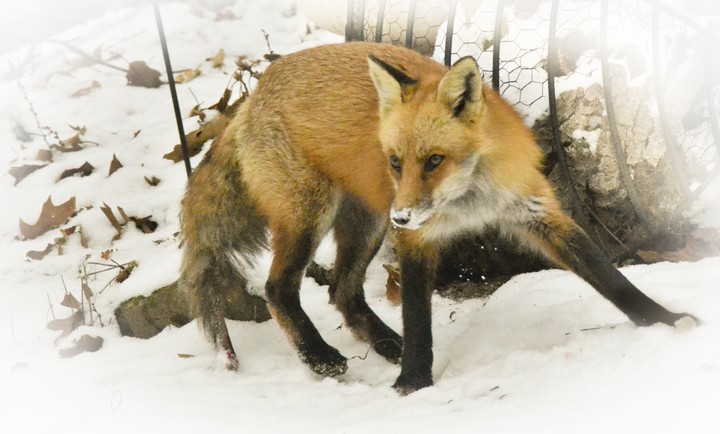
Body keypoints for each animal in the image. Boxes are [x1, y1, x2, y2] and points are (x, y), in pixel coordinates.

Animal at [179, 42, 693, 395]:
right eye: (394, 162)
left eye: (434, 161)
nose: (404, 214)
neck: (468, 200)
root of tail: (251, 99)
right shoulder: (416, 239)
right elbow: (418, 317)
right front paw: (414, 383)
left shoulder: (536, 211)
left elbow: (608, 275)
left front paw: (664, 320)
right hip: (317, 215)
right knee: (278, 289)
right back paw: (321, 356)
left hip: (368, 222)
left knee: (342, 291)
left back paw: (386, 345)